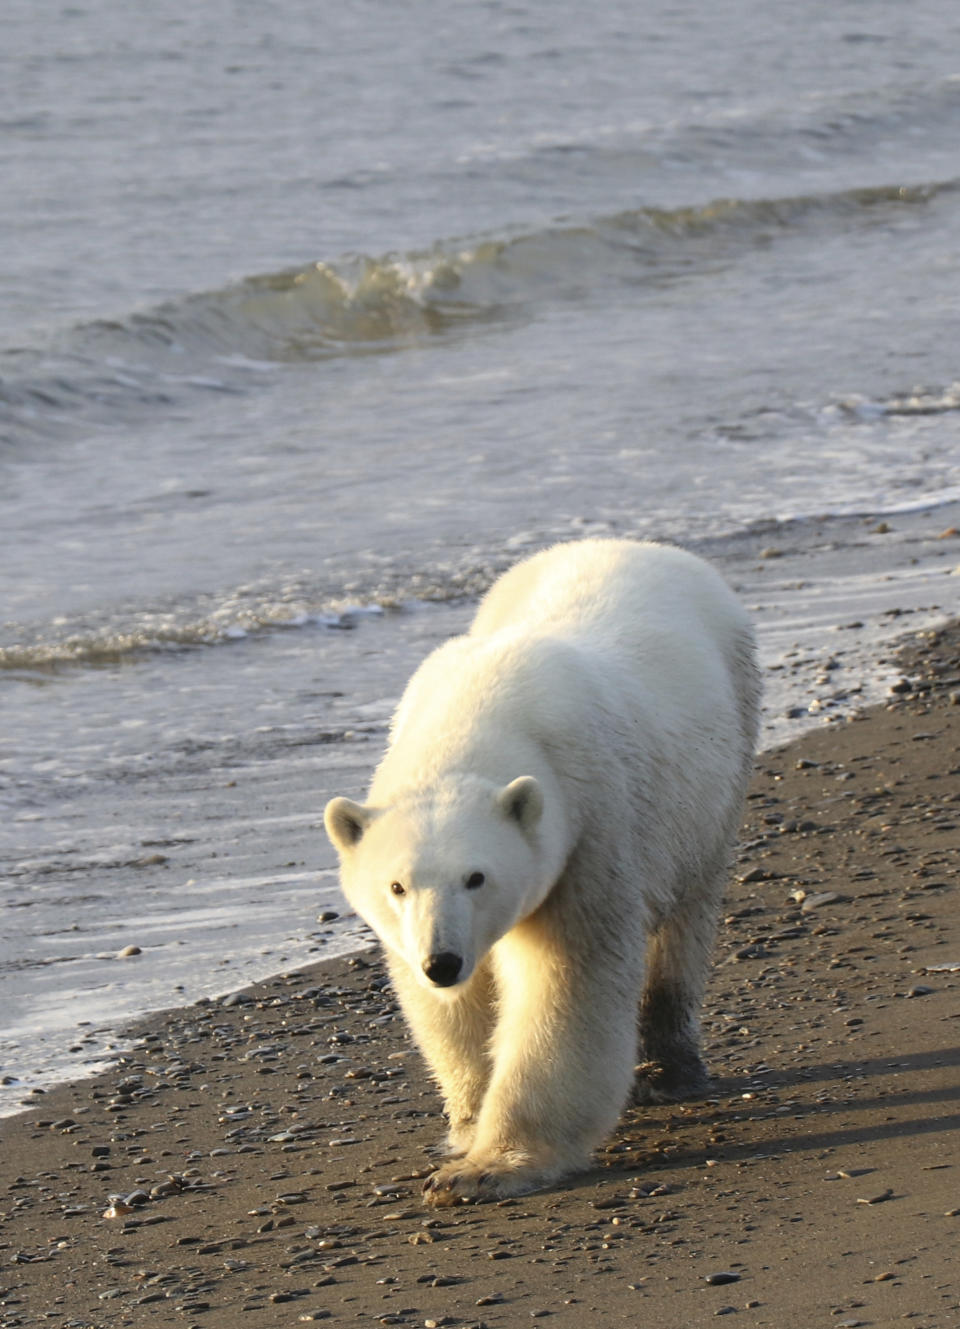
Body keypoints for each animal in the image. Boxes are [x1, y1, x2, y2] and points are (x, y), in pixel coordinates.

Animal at [325, 536, 760, 1206]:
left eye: (477, 877)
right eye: (396, 885)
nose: (441, 961)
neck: (475, 716)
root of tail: (635, 543)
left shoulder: (589, 825)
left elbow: (566, 984)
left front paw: (490, 1167)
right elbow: (456, 1010)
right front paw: (467, 1124)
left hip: (719, 766)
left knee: (687, 919)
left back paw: (672, 1067)